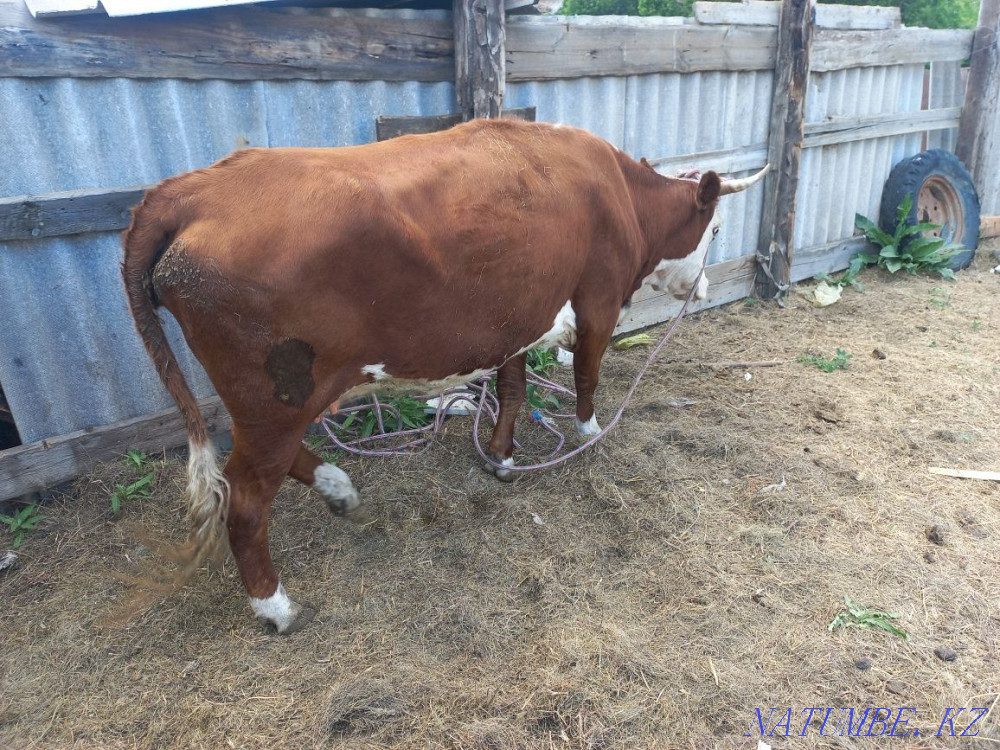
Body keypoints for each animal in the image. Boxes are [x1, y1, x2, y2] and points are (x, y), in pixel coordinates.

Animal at [121, 118, 767, 633]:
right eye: (714, 229)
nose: (704, 288)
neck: (621, 195)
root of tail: (188, 190)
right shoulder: (599, 301)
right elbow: (587, 373)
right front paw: (588, 433)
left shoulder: (516, 318)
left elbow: (513, 389)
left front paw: (502, 455)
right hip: (275, 397)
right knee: (247, 496)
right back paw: (275, 606)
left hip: (265, 401)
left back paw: (337, 487)